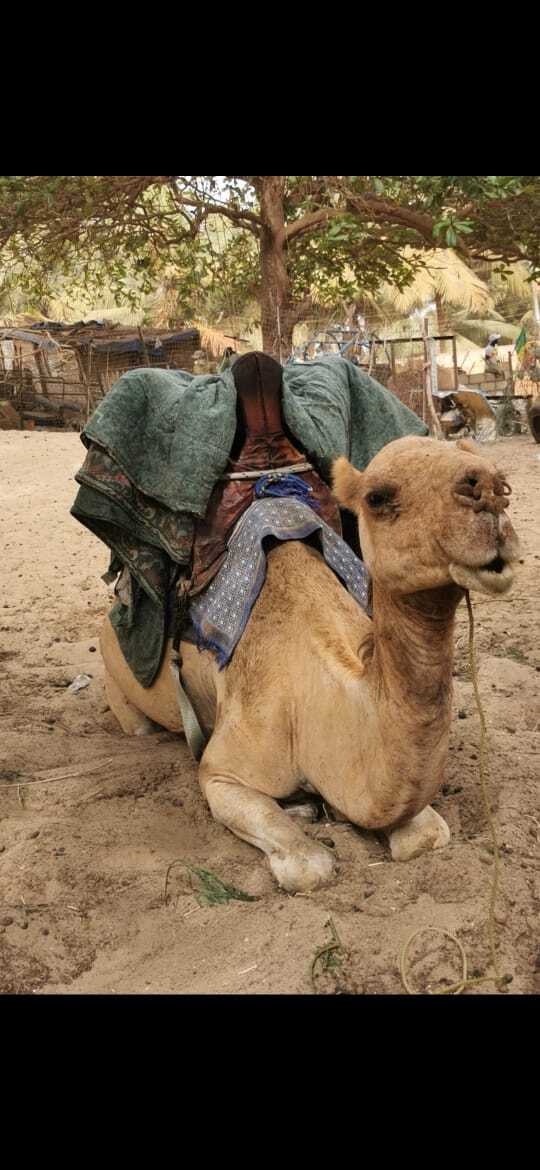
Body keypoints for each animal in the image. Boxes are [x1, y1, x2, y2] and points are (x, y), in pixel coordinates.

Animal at [100, 436, 520, 892]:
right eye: (377, 497)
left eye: (500, 479)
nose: (491, 491)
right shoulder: (221, 770)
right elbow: (309, 866)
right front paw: (306, 813)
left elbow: (428, 834)